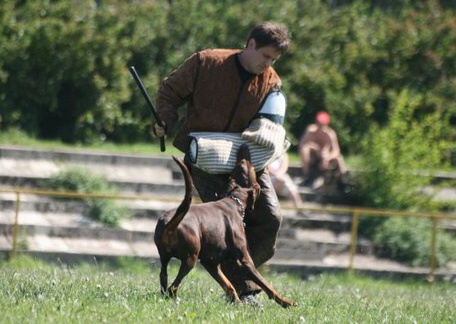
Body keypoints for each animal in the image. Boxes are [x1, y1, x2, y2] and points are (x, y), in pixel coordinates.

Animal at [153, 146, 298, 308]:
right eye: (249, 167)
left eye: (239, 166)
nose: (243, 148)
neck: (234, 200)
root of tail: (170, 224)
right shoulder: (244, 260)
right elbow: (265, 284)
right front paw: (287, 302)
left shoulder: (211, 262)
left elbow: (228, 284)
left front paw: (238, 303)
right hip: (190, 258)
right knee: (173, 287)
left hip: (165, 257)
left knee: (164, 278)